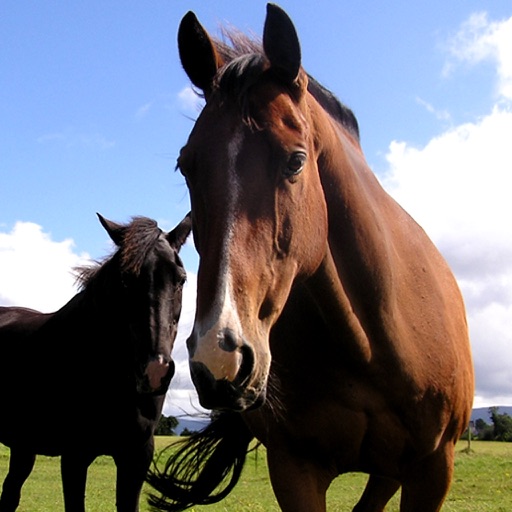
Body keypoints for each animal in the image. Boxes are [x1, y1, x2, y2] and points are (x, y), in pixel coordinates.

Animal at [0, 213, 192, 512]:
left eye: (181, 279)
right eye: (125, 279)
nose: (155, 370)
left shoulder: (136, 457)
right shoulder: (75, 456)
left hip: (23, 446)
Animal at [147, 5, 472, 512]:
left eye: (296, 161)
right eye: (186, 165)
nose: (220, 358)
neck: (369, 345)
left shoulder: (434, 468)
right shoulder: (294, 467)